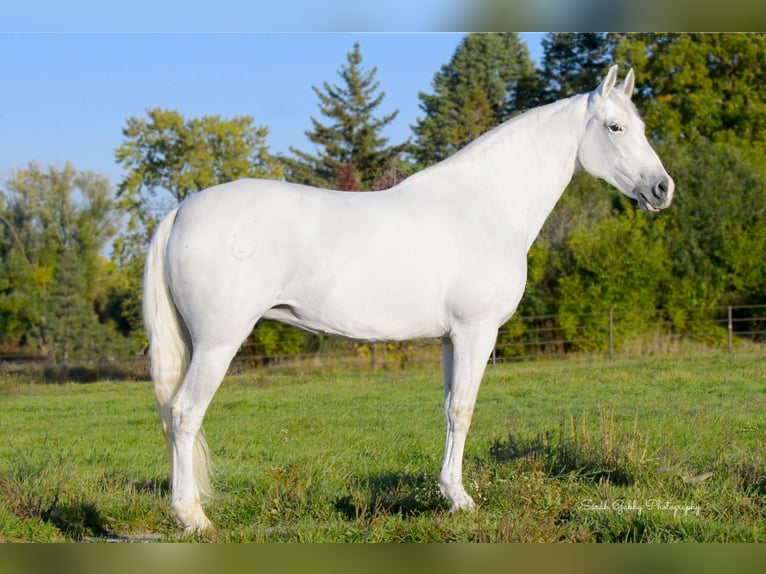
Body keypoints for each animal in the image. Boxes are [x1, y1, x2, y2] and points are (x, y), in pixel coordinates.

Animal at [142, 66, 672, 532]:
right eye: (616, 126)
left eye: (642, 126)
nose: (662, 188)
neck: (488, 203)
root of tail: (180, 210)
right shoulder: (476, 332)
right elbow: (464, 409)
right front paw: (461, 500)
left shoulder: (450, 339)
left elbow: (449, 409)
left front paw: (448, 492)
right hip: (217, 343)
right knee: (185, 414)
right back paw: (192, 517)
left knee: (171, 416)